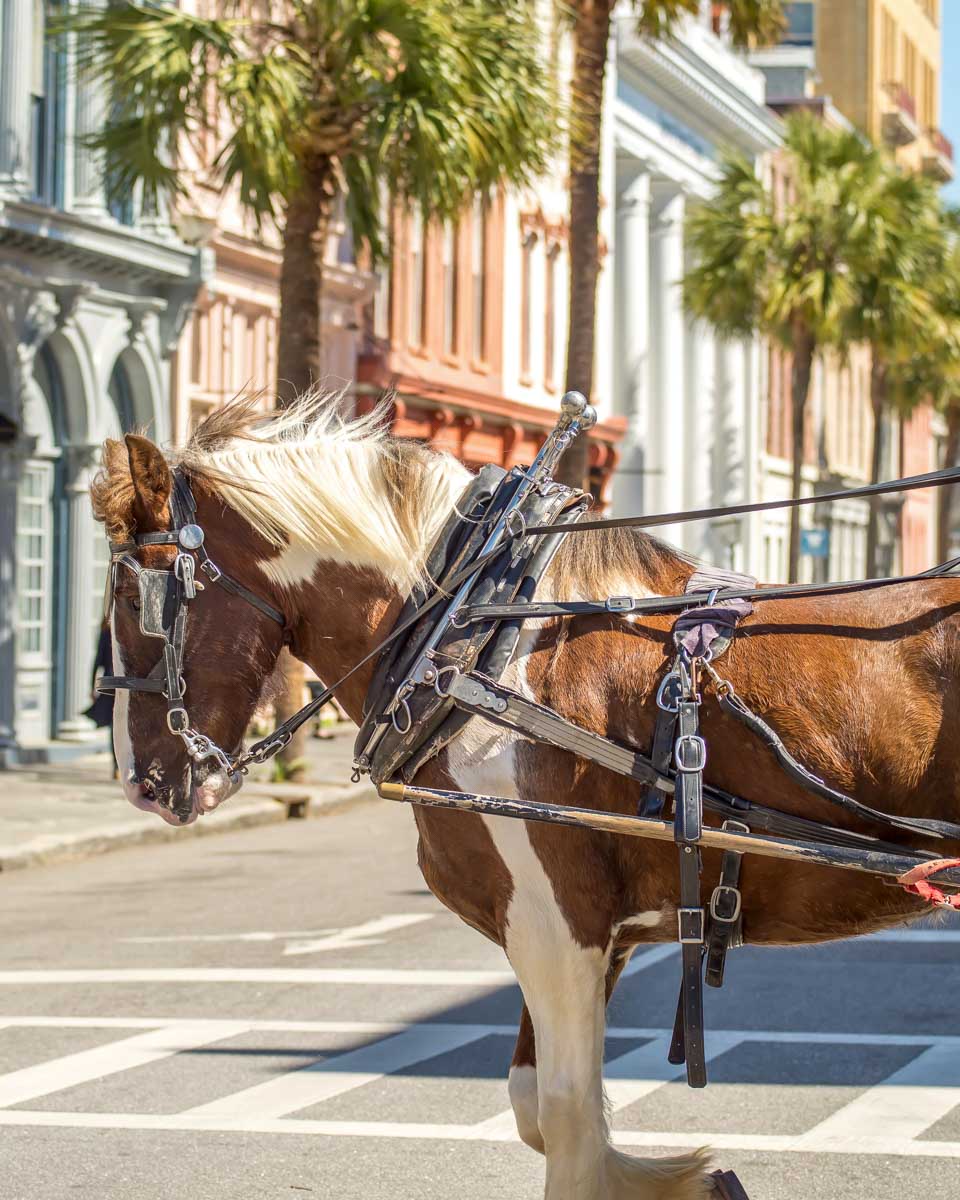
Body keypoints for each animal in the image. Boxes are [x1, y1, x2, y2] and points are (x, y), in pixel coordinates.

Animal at [92, 395, 960, 1200]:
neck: (473, 638)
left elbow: (570, 1120)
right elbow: (536, 1106)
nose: (142, 783)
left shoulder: (554, 920)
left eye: (138, 598)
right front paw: (688, 1178)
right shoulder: (594, 931)